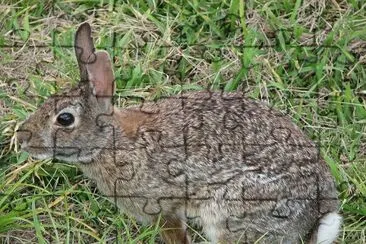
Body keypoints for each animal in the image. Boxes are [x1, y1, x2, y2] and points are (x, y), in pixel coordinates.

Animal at [16, 21, 344, 243]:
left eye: (65, 119)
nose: (21, 137)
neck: (113, 144)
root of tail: (319, 210)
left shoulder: (164, 208)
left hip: (231, 211)